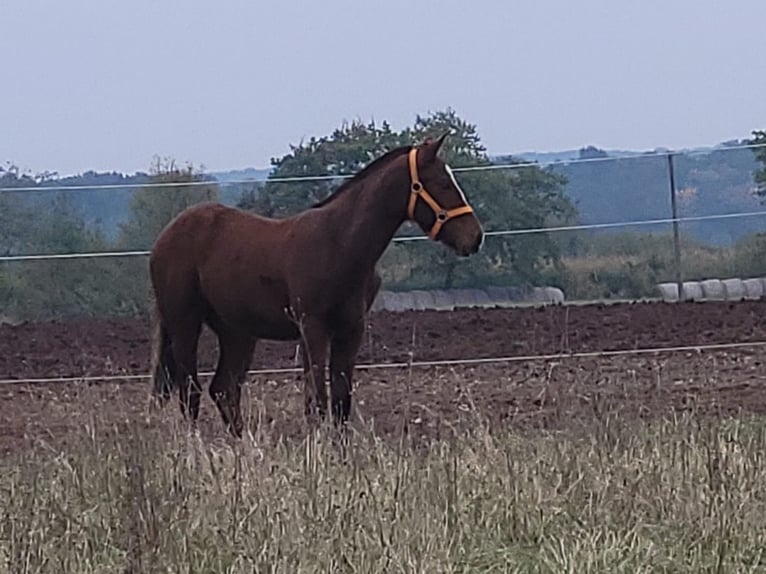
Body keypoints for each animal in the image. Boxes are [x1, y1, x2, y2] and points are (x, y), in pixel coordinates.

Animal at [151, 135, 486, 438]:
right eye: (443, 183)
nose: (475, 237)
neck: (339, 244)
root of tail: (166, 235)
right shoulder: (312, 328)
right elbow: (317, 400)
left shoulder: (351, 329)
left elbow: (340, 401)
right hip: (184, 324)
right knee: (190, 391)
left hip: (237, 332)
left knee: (224, 390)